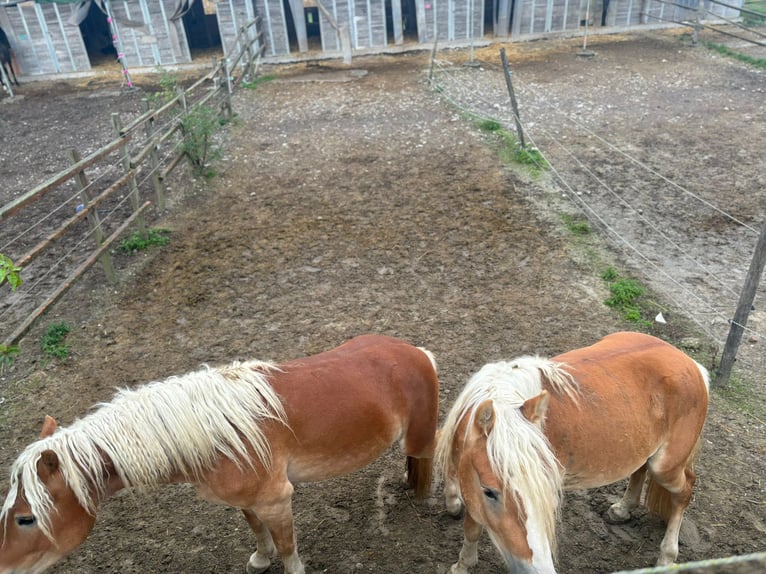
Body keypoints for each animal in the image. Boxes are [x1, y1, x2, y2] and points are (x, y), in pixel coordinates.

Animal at [0, 336, 440, 572]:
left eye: (26, 518)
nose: (4, 566)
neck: (220, 435)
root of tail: (416, 351)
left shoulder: (277, 499)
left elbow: (288, 547)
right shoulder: (247, 500)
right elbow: (256, 529)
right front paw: (260, 559)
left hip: (418, 439)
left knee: (427, 459)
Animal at [438, 332, 712, 574]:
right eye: (489, 491)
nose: (539, 571)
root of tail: (694, 366)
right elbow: (470, 521)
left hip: (665, 468)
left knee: (684, 491)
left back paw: (667, 556)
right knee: (640, 469)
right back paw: (622, 509)